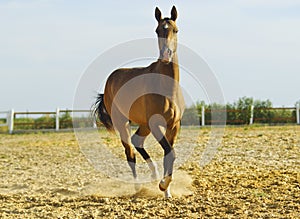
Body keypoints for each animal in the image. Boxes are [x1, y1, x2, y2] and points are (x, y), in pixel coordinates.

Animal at [92, 5, 184, 198]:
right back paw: (137, 187)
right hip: (123, 123)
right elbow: (170, 153)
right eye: (157, 30)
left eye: (176, 30)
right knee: (130, 153)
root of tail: (110, 80)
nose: (166, 55)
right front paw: (163, 185)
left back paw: (154, 174)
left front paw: (167, 191)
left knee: (137, 142)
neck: (166, 88)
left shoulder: (174, 125)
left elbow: (169, 154)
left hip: (144, 124)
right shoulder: (156, 124)